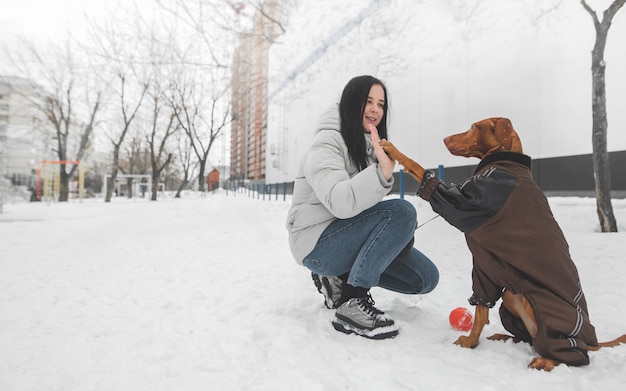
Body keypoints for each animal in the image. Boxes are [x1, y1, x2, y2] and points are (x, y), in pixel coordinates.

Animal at [380, 116, 624, 370]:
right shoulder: (484, 268)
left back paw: (545, 360)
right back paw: (505, 337)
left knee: (576, 356)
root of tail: (590, 340)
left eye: (474, 126)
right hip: (510, 295)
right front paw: (472, 342)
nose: (445, 138)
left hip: (536, 307)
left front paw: (392, 149)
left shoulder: (462, 203)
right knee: (531, 338)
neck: (507, 163)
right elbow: (481, 309)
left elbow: (419, 168)